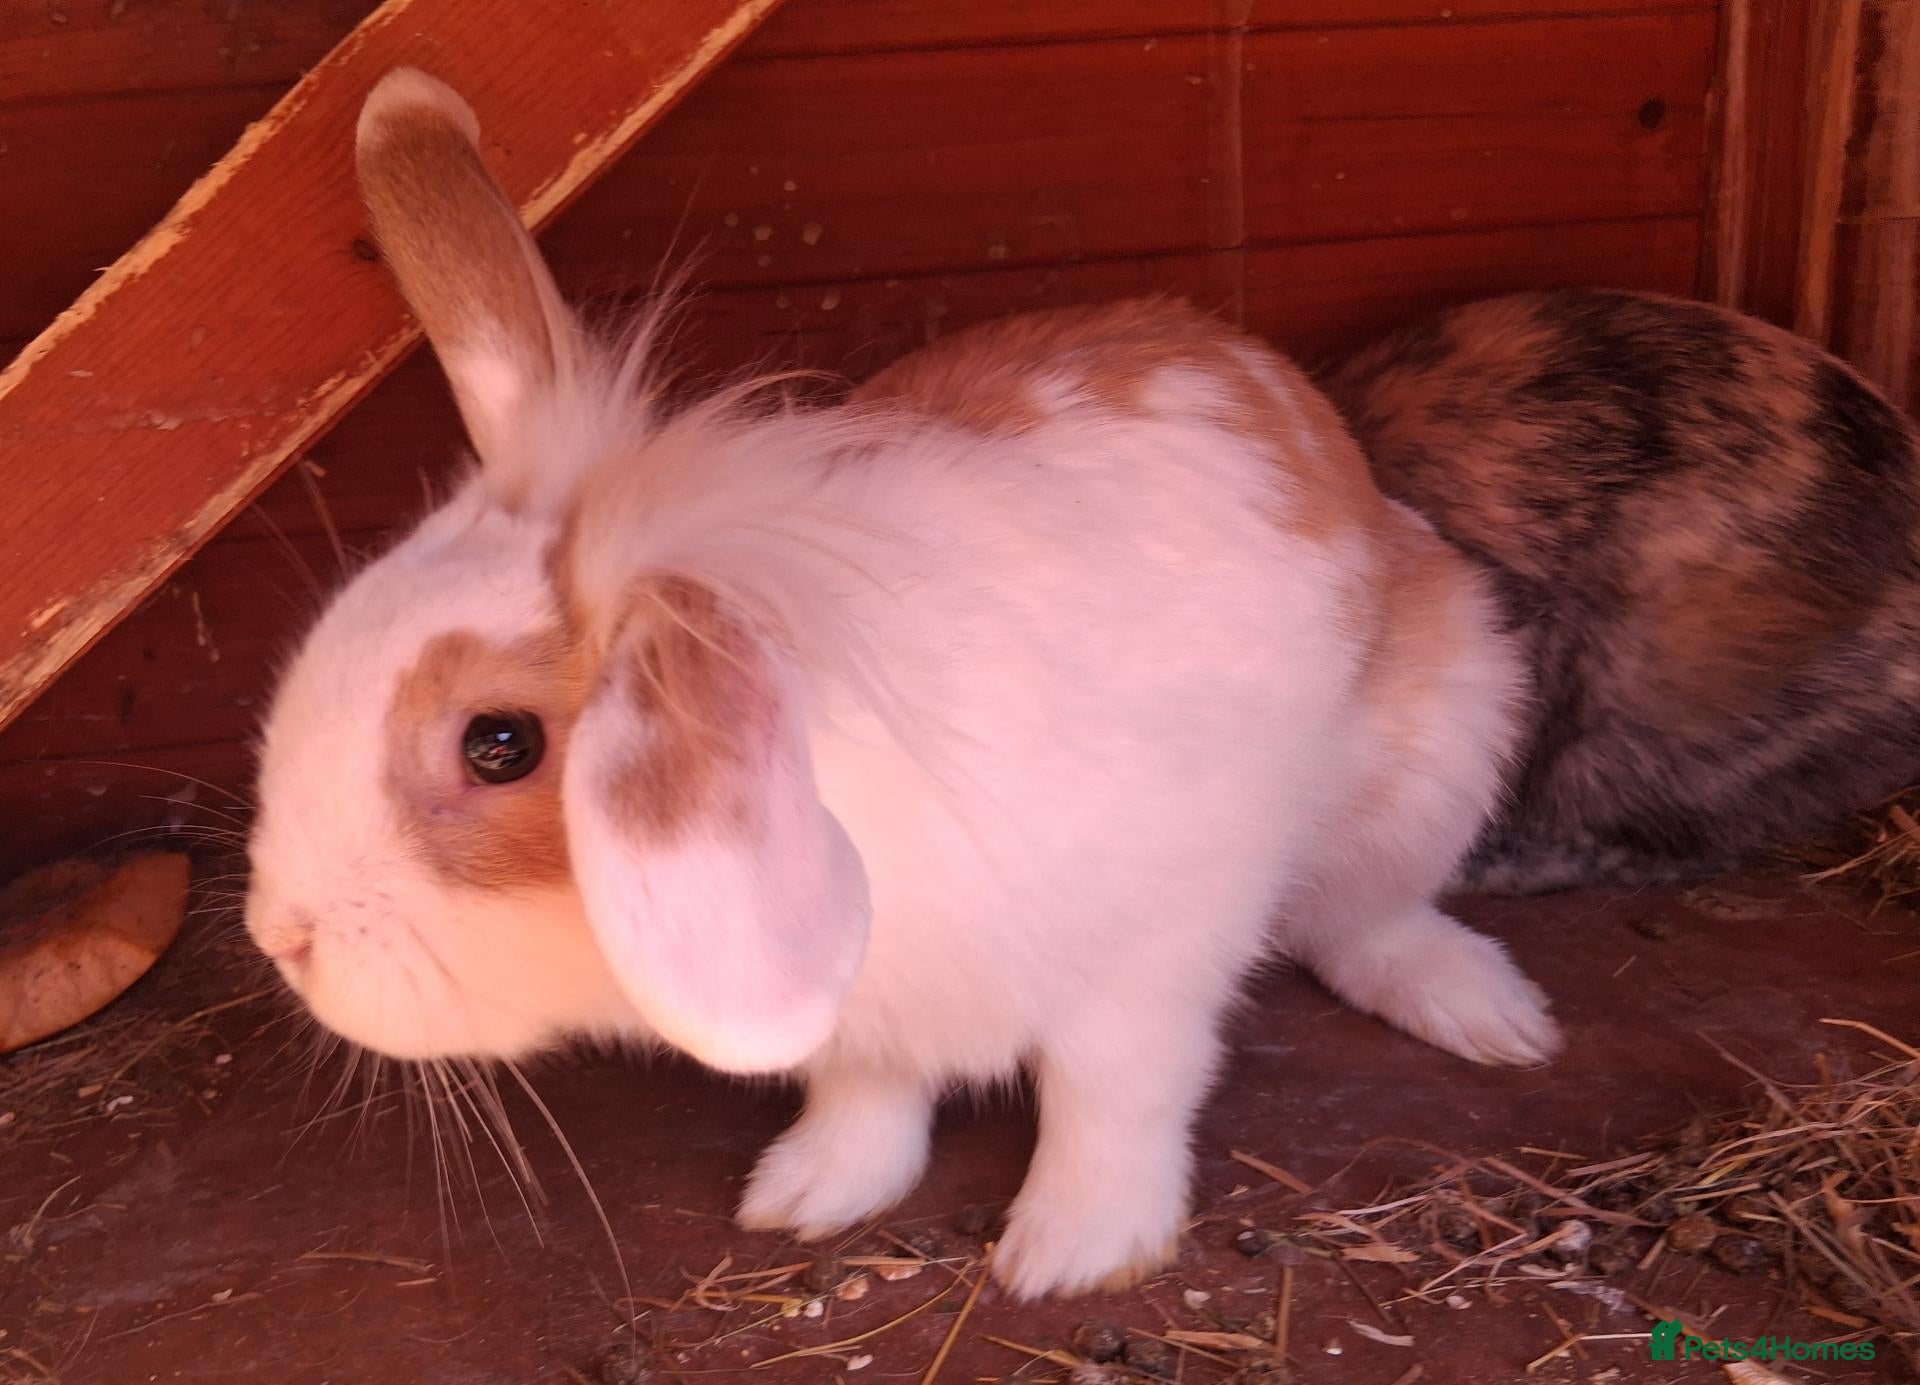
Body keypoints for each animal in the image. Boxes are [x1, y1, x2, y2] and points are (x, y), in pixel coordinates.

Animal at [243, 68, 1559, 1300]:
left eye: (500, 743)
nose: (278, 932)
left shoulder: (1154, 956)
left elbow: (1116, 1094)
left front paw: (1075, 1249)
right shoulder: (862, 1015)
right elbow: (866, 1092)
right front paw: (811, 1190)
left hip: (1448, 741)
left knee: (1366, 916)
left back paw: (1490, 1014)